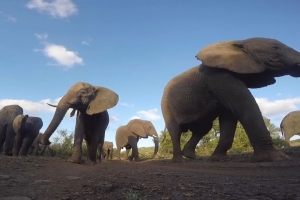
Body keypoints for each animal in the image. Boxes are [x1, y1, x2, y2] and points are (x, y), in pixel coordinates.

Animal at [163, 37, 300, 162]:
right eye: (275, 48)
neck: (241, 42)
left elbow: (229, 116)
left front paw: (219, 159)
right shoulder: (217, 76)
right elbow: (245, 106)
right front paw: (276, 158)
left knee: (203, 128)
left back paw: (190, 156)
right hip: (166, 105)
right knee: (175, 131)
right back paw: (179, 160)